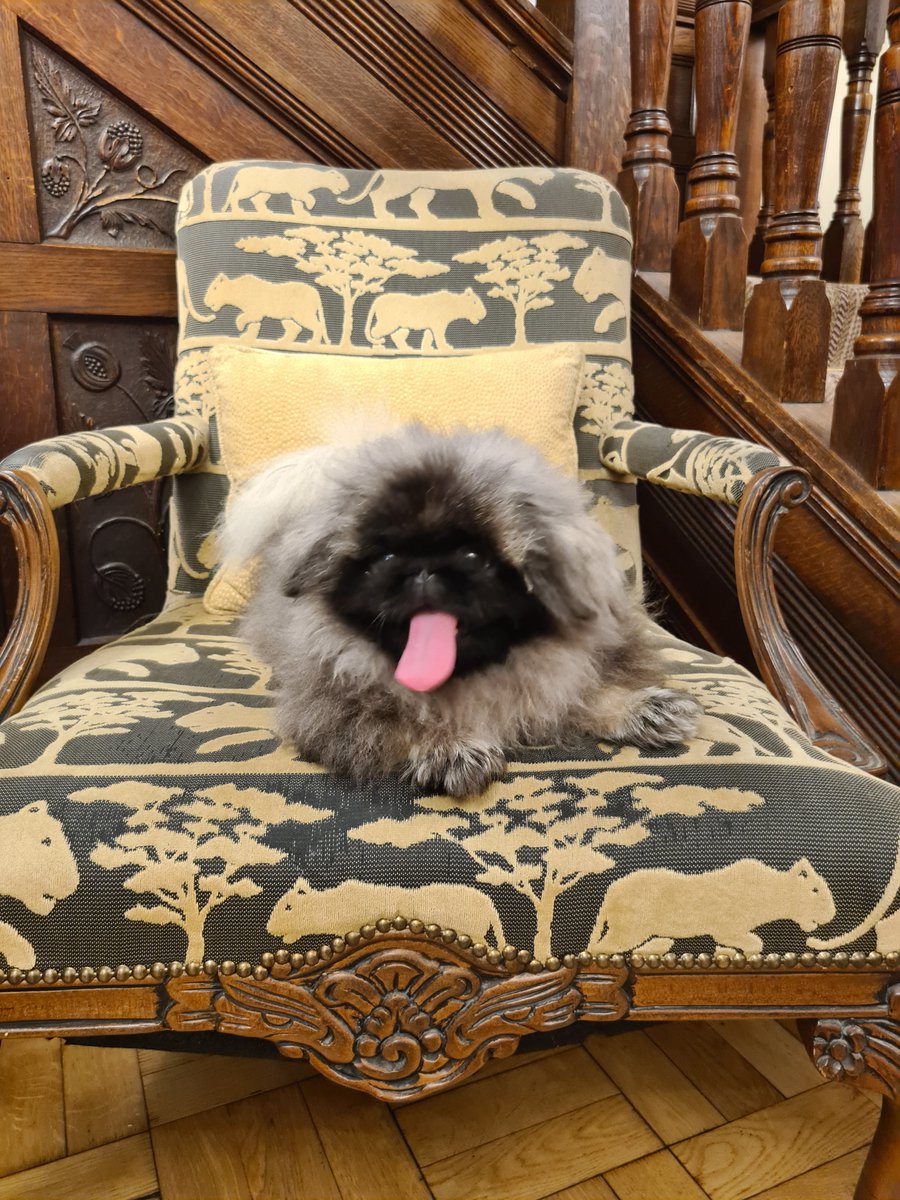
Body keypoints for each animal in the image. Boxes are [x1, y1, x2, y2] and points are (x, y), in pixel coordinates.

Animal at [589, 857, 836, 956]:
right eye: (815, 890)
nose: (832, 913)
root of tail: (611, 892)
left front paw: (726, 952)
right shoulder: (726, 927)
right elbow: (754, 942)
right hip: (630, 928)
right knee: (602, 948)